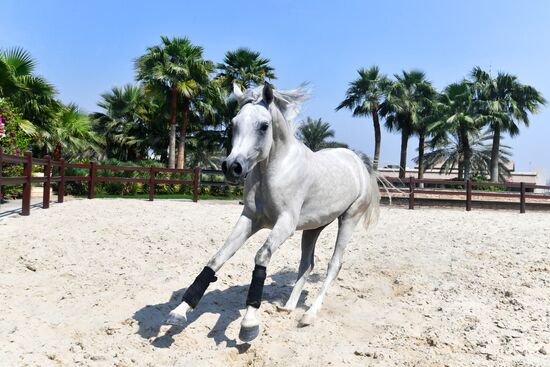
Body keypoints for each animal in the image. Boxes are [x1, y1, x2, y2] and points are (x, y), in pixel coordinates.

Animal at [168, 83, 382, 342]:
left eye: (264, 126)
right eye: (233, 124)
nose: (232, 167)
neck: (274, 168)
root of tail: (358, 161)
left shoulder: (285, 224)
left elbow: (261, 256)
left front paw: (249, 323)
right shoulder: (250, 219)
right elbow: (218, 258)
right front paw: (179, 311)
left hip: (349, 219)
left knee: (334, 265)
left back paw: (309, 315)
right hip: (314, 227)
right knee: (307, 264)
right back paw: (288, 307)